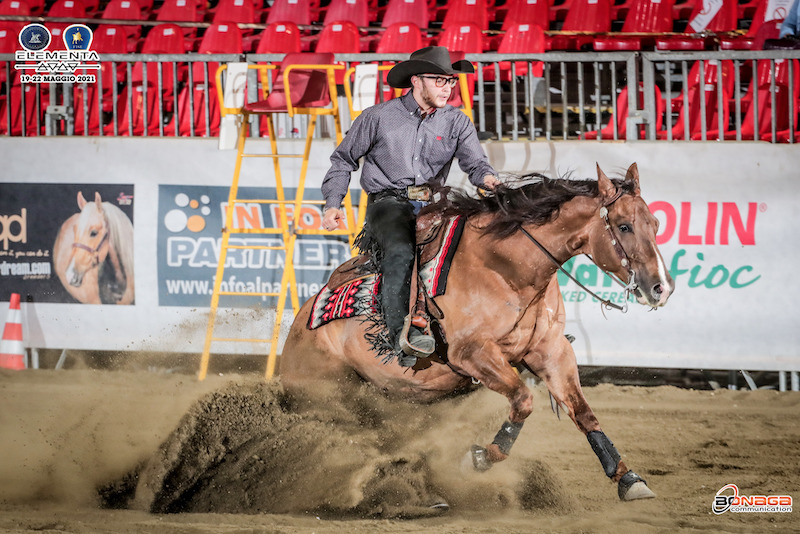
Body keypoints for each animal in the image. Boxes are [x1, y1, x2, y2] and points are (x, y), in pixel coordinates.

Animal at [282, 162, 676, 502]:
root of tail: (302, 322)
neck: (506, 268)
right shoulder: (473, 354)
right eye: (623, 226)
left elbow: (583, 412)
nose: (661, 288)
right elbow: (523, 400)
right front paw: (479, 458)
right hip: (325, 394)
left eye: (656, 223)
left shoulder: (551, 351)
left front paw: (628, 479)